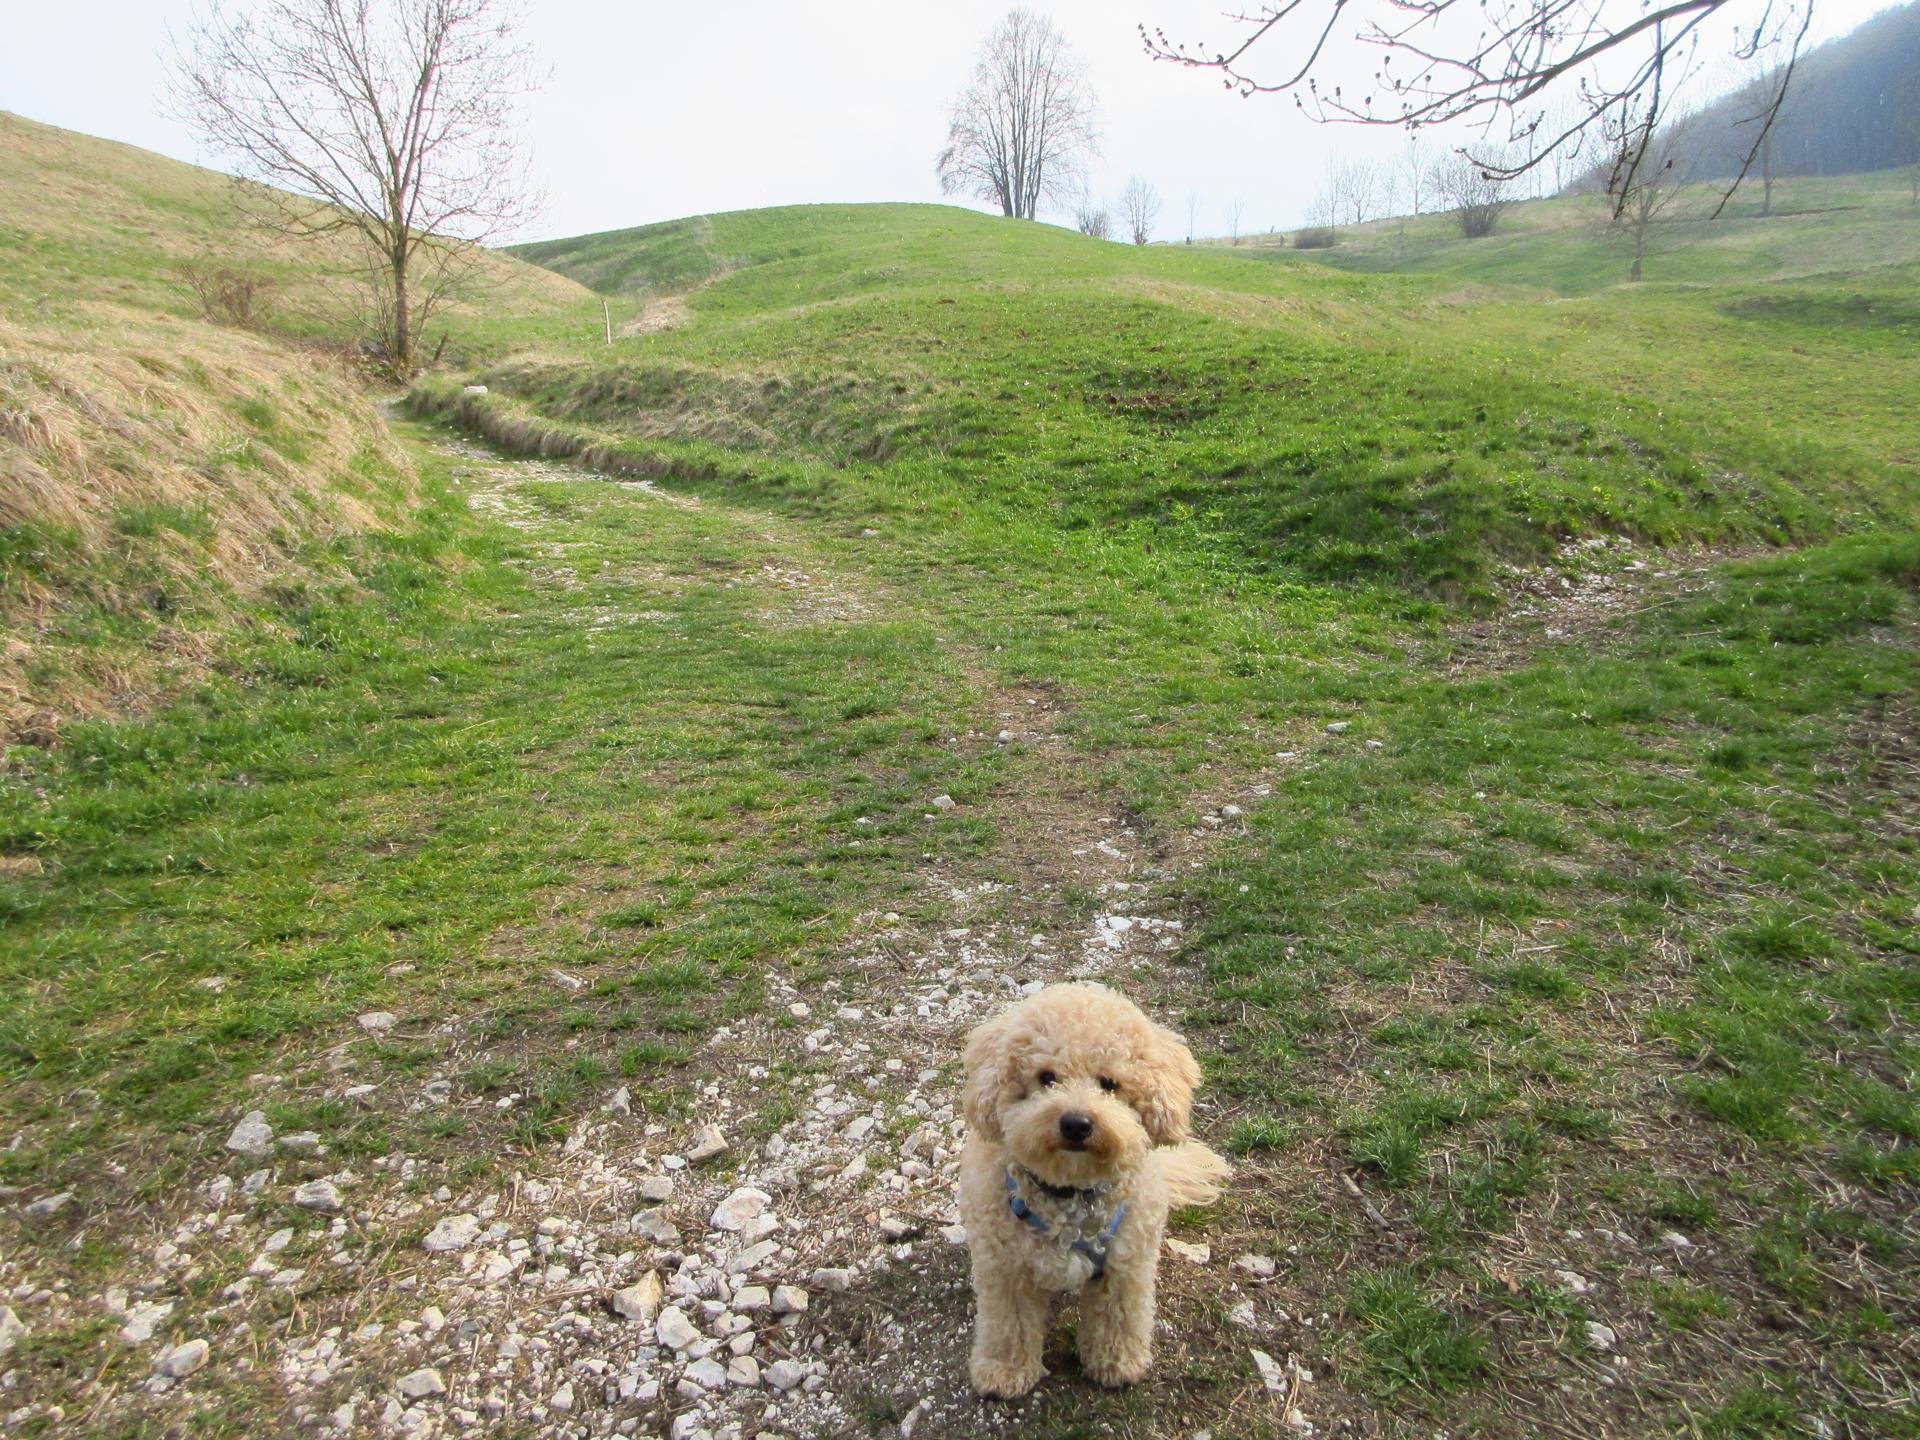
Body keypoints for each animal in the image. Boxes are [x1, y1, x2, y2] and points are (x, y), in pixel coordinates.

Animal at [958, 982, 1229, 1397]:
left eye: (1110, 1084)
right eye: (1047, 1077)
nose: (1076, 1123)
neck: (1070, 1194)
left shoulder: (1125, 1268)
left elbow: (1118, 1320)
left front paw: (1117, 1364)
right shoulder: (1006, 1272)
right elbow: (1009, 1326)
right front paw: (1004, 1371)